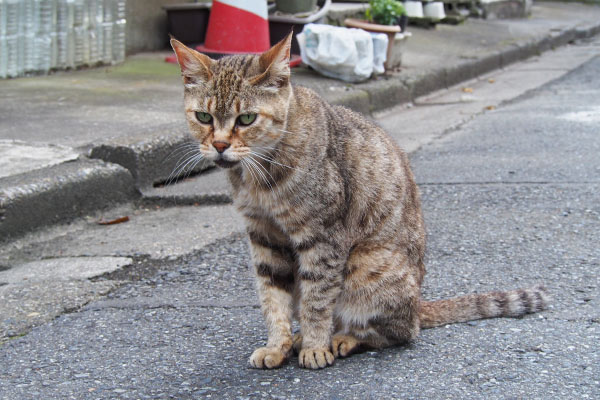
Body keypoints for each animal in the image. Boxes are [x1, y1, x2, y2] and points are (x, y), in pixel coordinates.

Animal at [169, 32, 548, 370]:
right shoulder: (264, 237)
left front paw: (315, 346)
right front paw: (277, 345)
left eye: (246, 118)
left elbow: (317, 299)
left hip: (365, 265)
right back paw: (299, 339)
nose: (219, 145)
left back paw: (341, 339)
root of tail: (418, 303)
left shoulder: (323, 238)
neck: (259, 177)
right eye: (203, 117)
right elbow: (273, 299)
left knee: (397, 332)